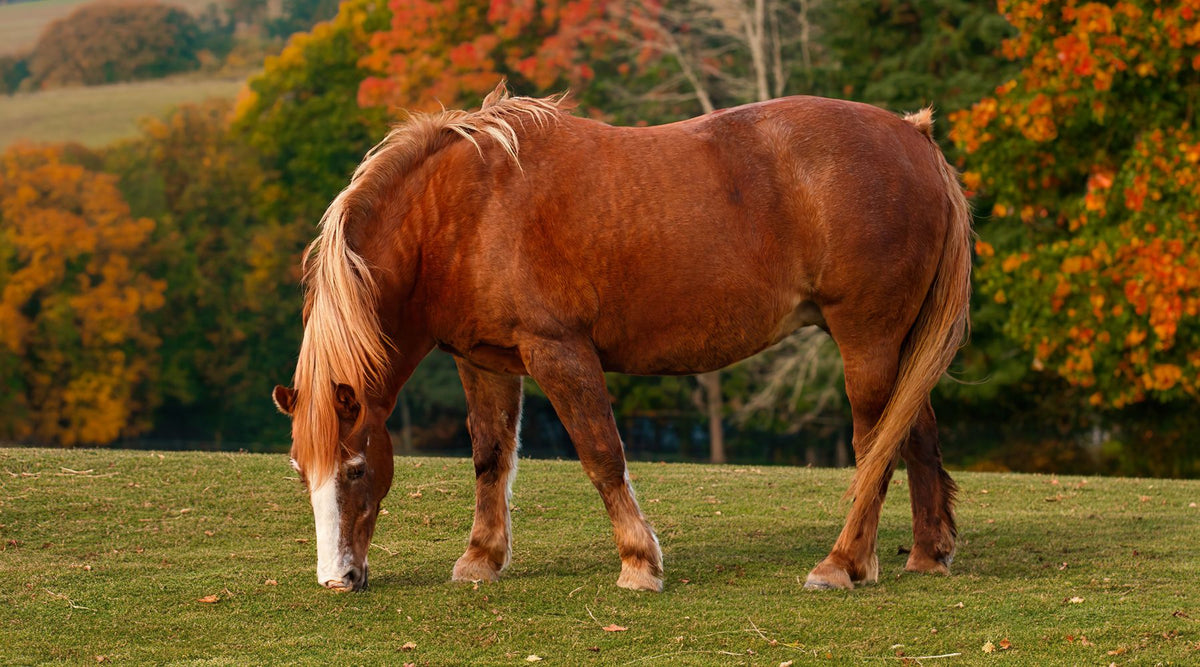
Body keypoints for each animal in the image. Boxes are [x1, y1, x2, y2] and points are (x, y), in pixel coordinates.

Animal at [272, 81, 971, 593]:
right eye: (302, 469)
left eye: (357, 468)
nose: (337, 580)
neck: (466, 212)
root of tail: (914, 137)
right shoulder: (486, 362)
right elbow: (490, 457)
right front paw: (481, 559)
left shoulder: (558, 352)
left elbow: (601, 454)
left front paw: (639, 563)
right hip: (897, 343)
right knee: (917, 433)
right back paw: (927, 556)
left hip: (867, 339)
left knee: (876, 445)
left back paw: (843, 564)